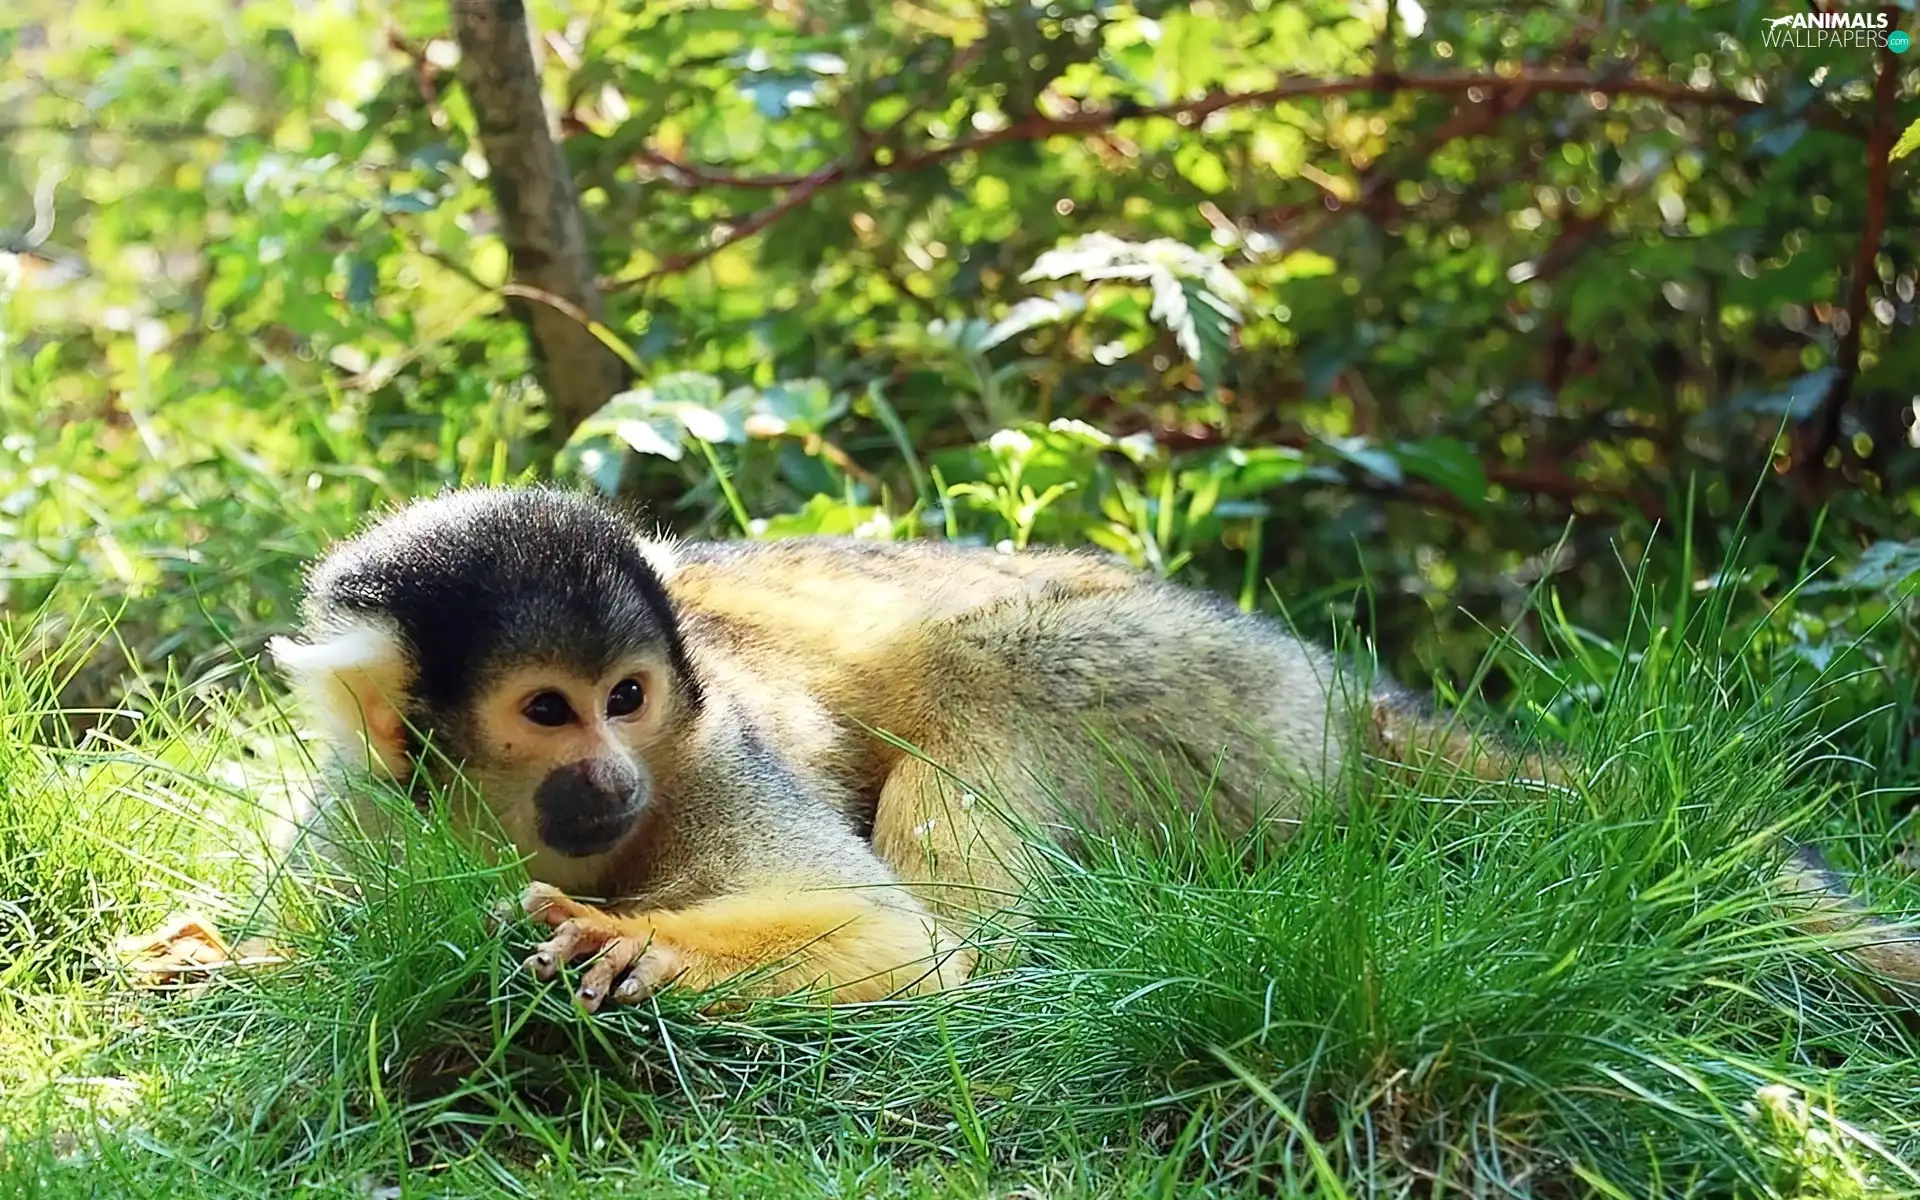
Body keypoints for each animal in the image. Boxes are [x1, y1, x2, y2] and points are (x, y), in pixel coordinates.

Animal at [123, 486, 1920, 1011]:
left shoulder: (714, 759)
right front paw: (239, 958)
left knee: (975, 683)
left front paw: (642, 943)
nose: (615, 781)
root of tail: (1334, 691)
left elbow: (886, 940)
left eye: (629, 698)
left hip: (1197, 692)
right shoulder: (365, 808)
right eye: (549, 713)